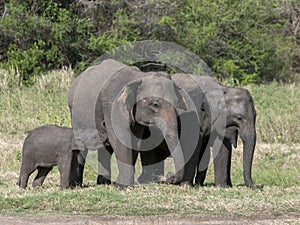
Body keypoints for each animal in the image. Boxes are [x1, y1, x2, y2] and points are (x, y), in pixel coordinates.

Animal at [68, 59, 199, 187]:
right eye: (155, 104)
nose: (169, 176)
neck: (139, 77)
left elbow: (135, 141)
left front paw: (121, 184)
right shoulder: (112, 105)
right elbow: (120, 139)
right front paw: (124, 186)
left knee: (105, 148)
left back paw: (103, 183)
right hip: (74, 113)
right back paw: (78, 184)